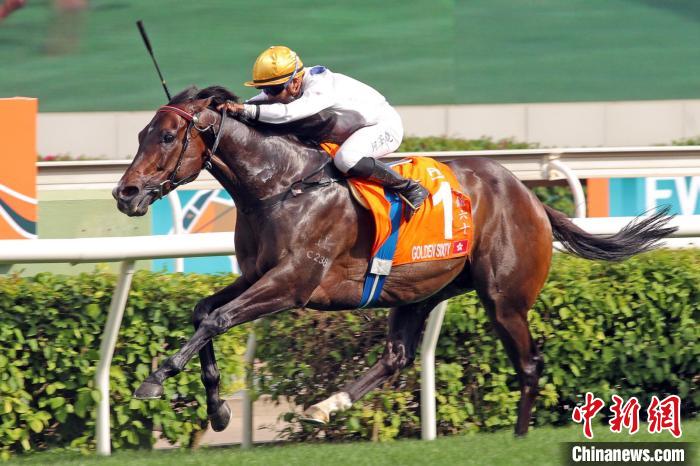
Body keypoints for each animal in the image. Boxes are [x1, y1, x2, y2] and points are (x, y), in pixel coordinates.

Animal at [113, 85, 676, 436]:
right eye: (140, 134)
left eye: (167, 136)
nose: (126, 193)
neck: (279, 186)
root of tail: (532, 198)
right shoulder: (257, 275)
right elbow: (204, 313)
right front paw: (217, 408)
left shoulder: (292, 283)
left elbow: (219, 319)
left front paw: (156, 379)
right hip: (420, 291)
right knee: (397, 356)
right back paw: (326, 406)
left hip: (504, 299)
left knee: (529, 363)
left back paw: (518, 436)